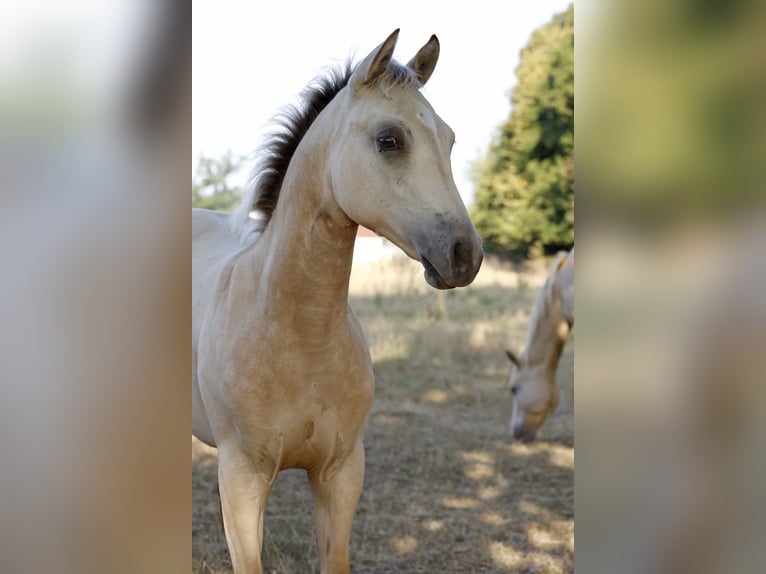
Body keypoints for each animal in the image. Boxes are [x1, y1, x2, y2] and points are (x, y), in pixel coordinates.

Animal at [192, 30, 483, 573]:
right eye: (390, 139)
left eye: (450, 140)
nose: (464, 255)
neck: (298, 335)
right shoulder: (241, 479)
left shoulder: (341, 474)